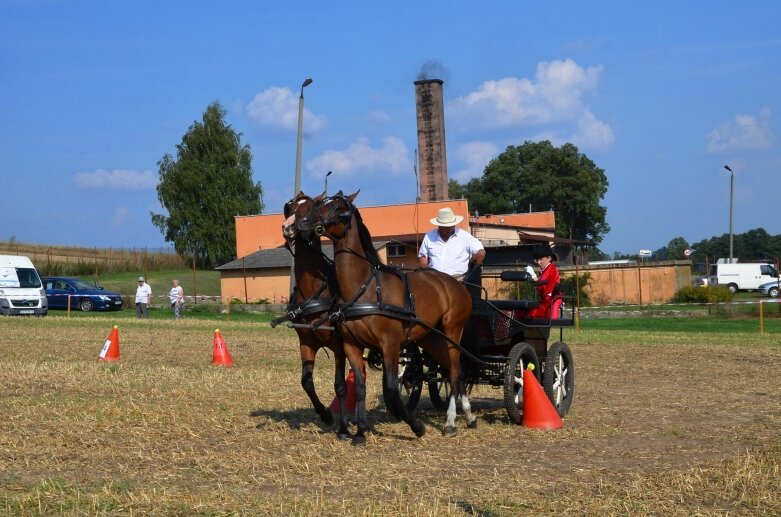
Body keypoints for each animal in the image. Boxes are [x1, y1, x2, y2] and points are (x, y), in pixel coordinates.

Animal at [274, 191, 348, 438]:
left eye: (310, 208)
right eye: (289, 208)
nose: (288, 227)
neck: (314, 291)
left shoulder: (339, 345)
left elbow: (340, 385)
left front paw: (343, 426)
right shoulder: (306, 342)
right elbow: (306, 382)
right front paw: (325, 415)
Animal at [298, 190, 476, 444]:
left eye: (337, 208)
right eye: (320, 204)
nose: (303, 223)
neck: (365, 288)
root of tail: (455, 283)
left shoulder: (389, 344)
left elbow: (391, 388)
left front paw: (417, 426)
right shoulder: (351, 345)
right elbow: (360, 386)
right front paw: (360, 432)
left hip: (452, 331)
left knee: (454, 371)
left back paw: (451, 421)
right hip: (430, 338)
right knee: (454, 371)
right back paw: (469, 416)